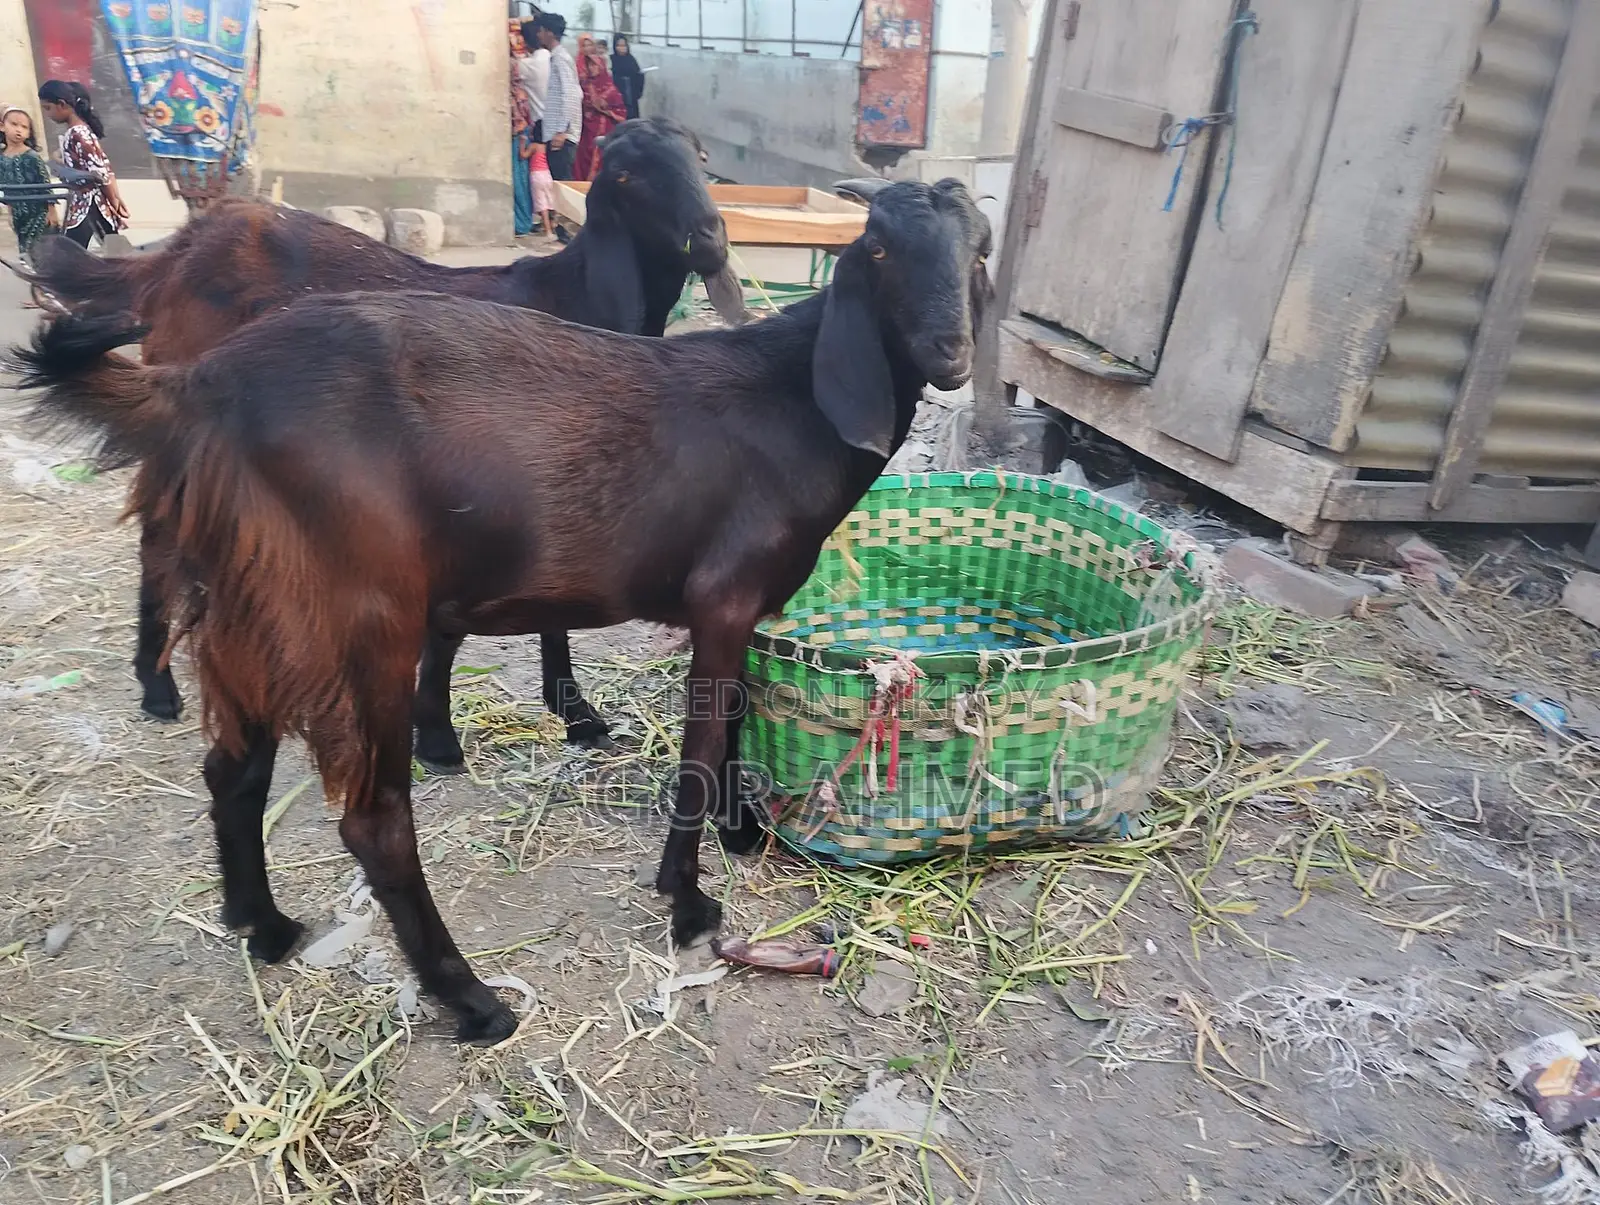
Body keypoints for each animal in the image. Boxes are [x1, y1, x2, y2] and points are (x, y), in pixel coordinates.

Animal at [20, 116, 747, 766]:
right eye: (628, 175)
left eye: (700, 162)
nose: (711, 239)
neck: (576, 299)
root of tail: (175, 255)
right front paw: (441, 736)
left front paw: (573, 713)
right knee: (157, 538)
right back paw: (158, 684)